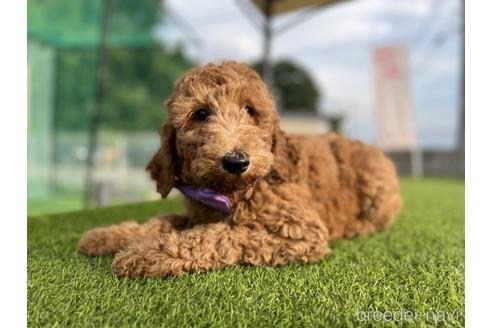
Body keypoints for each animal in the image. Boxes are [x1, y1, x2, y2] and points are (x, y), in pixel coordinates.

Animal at [78, 60, 400, 276]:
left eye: (250, 110)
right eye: (200, 114)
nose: (237, 161)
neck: (229, 191)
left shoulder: (300, 231)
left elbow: (221, 234)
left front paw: (145, 252)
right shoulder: (197, 212)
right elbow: (164, 220)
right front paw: (109, 236)